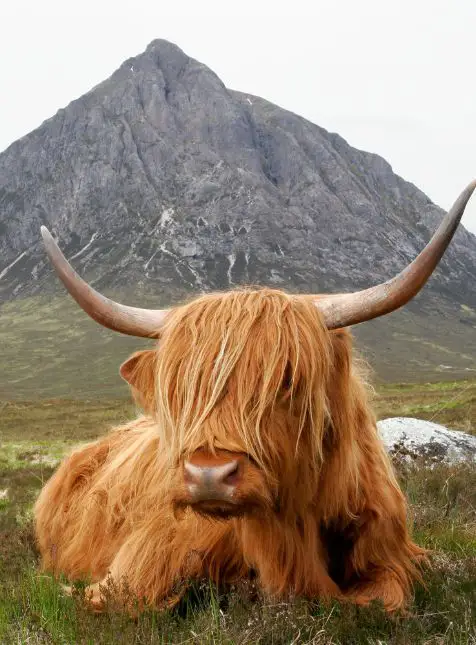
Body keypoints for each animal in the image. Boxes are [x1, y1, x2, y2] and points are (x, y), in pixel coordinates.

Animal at [34, 180, 475, 613]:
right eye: (180, 389)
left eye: (287, 379)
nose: (208, 476)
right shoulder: (142, 560)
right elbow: (127, 599)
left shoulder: (393, 555)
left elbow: (382, 601)